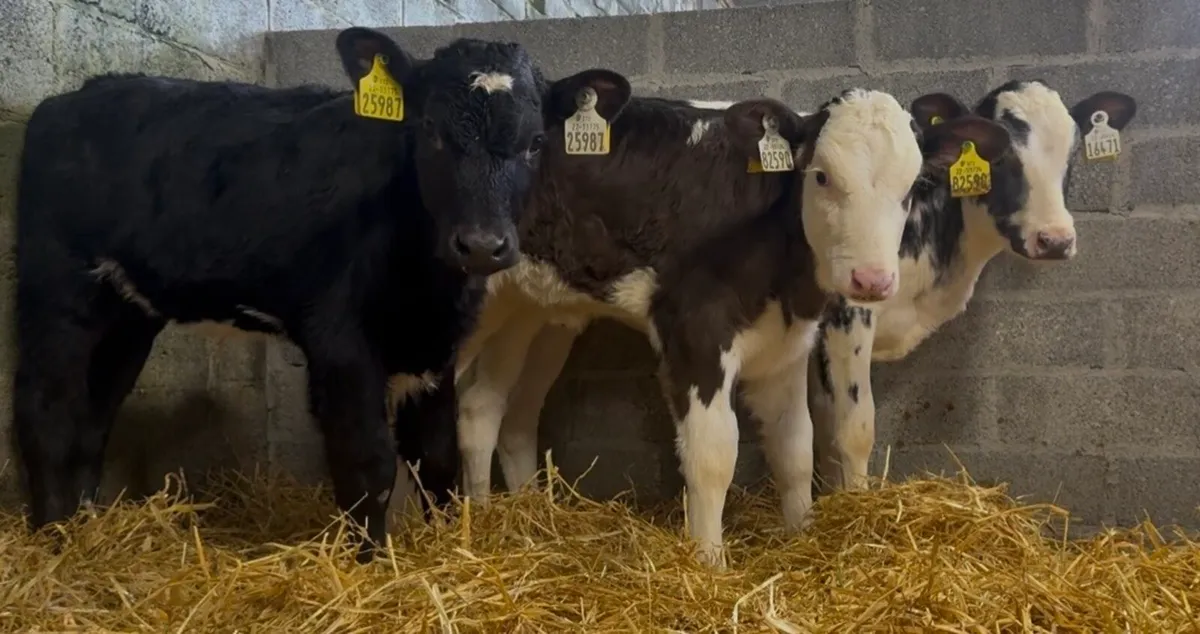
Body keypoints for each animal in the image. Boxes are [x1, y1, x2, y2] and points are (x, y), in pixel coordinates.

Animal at [11, 25, 631, 562]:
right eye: (430, 129)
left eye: (535, 142)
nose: (482, 245)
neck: (424, 283)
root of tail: (75, 96)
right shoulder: (339, 338)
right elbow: (368, 460)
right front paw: (372, 562)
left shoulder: (437, 345)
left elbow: (436, 456)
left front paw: (444, 551)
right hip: (57, 287)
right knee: (45, 409)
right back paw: (52, 543)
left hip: (128, 311)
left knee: (94, 417)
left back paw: (86, 527)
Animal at [389, 88, 1017, 567]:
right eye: (820, 176)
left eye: (911, 188)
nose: (871, 279)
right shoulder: (693, 331)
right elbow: (714, 454)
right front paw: (710, 564)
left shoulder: (784, 346)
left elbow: (796, 448)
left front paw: (803, 536)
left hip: (531, 312)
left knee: (488, 408)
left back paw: (496, 520)